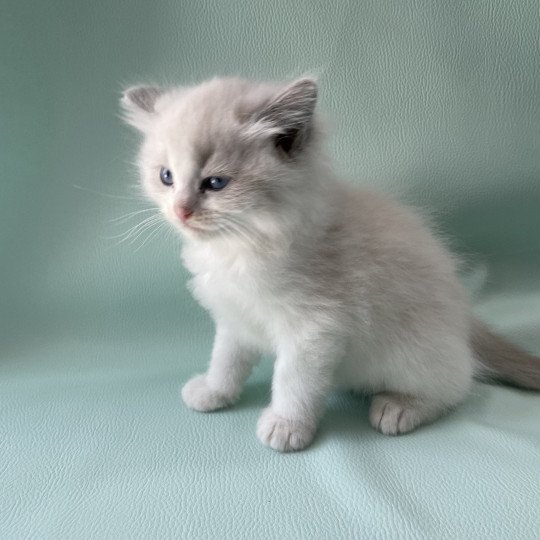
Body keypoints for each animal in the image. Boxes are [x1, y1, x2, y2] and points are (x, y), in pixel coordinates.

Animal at [122, 76, 540, 452]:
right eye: (166, 177)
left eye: (215, 183)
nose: (181, 211)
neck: (244, 245)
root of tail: (465, 320)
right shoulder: (236, 317)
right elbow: (226, 360)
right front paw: (213, 392)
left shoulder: (314, 330)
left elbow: (293, 382)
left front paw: (287, 426)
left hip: (412, 351)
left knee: (457, 384)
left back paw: (400, 408)